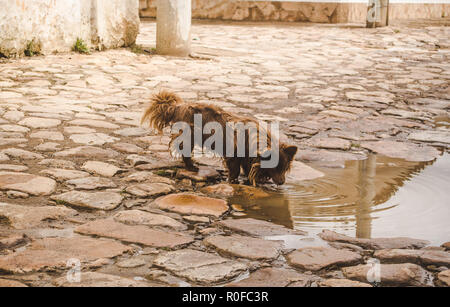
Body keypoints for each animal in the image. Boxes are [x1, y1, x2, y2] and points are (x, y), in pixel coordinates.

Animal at [141, 91, 298, 185]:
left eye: (284, 167)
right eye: (274, 167)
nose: (282, 182)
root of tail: (178, 106)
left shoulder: (247, 157)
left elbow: (248, 168)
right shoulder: (233, 155)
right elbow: (235, 170)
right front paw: (233, 181)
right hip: (189, 136)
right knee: (184, 151)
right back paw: (192, 166)